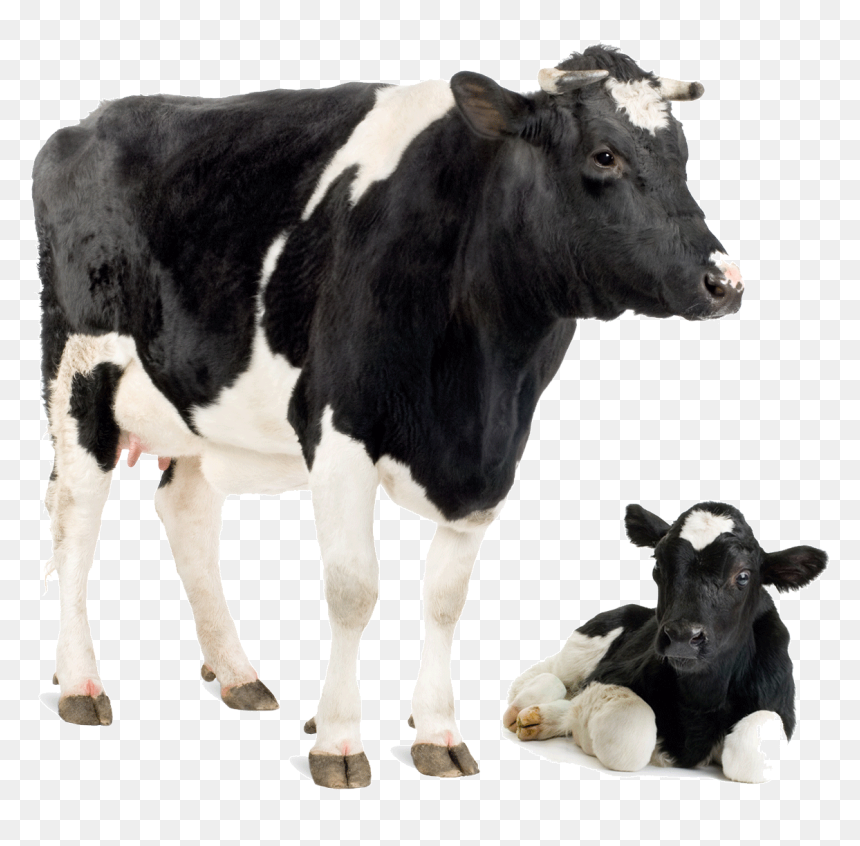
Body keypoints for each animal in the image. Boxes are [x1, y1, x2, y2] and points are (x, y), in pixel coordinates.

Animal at [34, 45, 743, 788]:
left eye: (682, 154)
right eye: (604, 155)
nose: (723, 282)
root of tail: (89, 121)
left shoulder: (491, 460)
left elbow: (444, 600)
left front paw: (436, 731)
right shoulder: (340, 433)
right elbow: (353, 591)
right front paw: (339, 740)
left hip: (200, 406)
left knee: (185, 510)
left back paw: (236, 674)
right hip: (78, 373)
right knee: (75, 519)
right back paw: (80, 683)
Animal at [504, 503, 827, 783]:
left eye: (744, 575)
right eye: (659, 564)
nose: (683, 636)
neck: (701, 697)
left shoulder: (780, 707)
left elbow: (750, 752)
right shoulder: (608, 675)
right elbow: (630, 735)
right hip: (586, 642)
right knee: (548, 676)